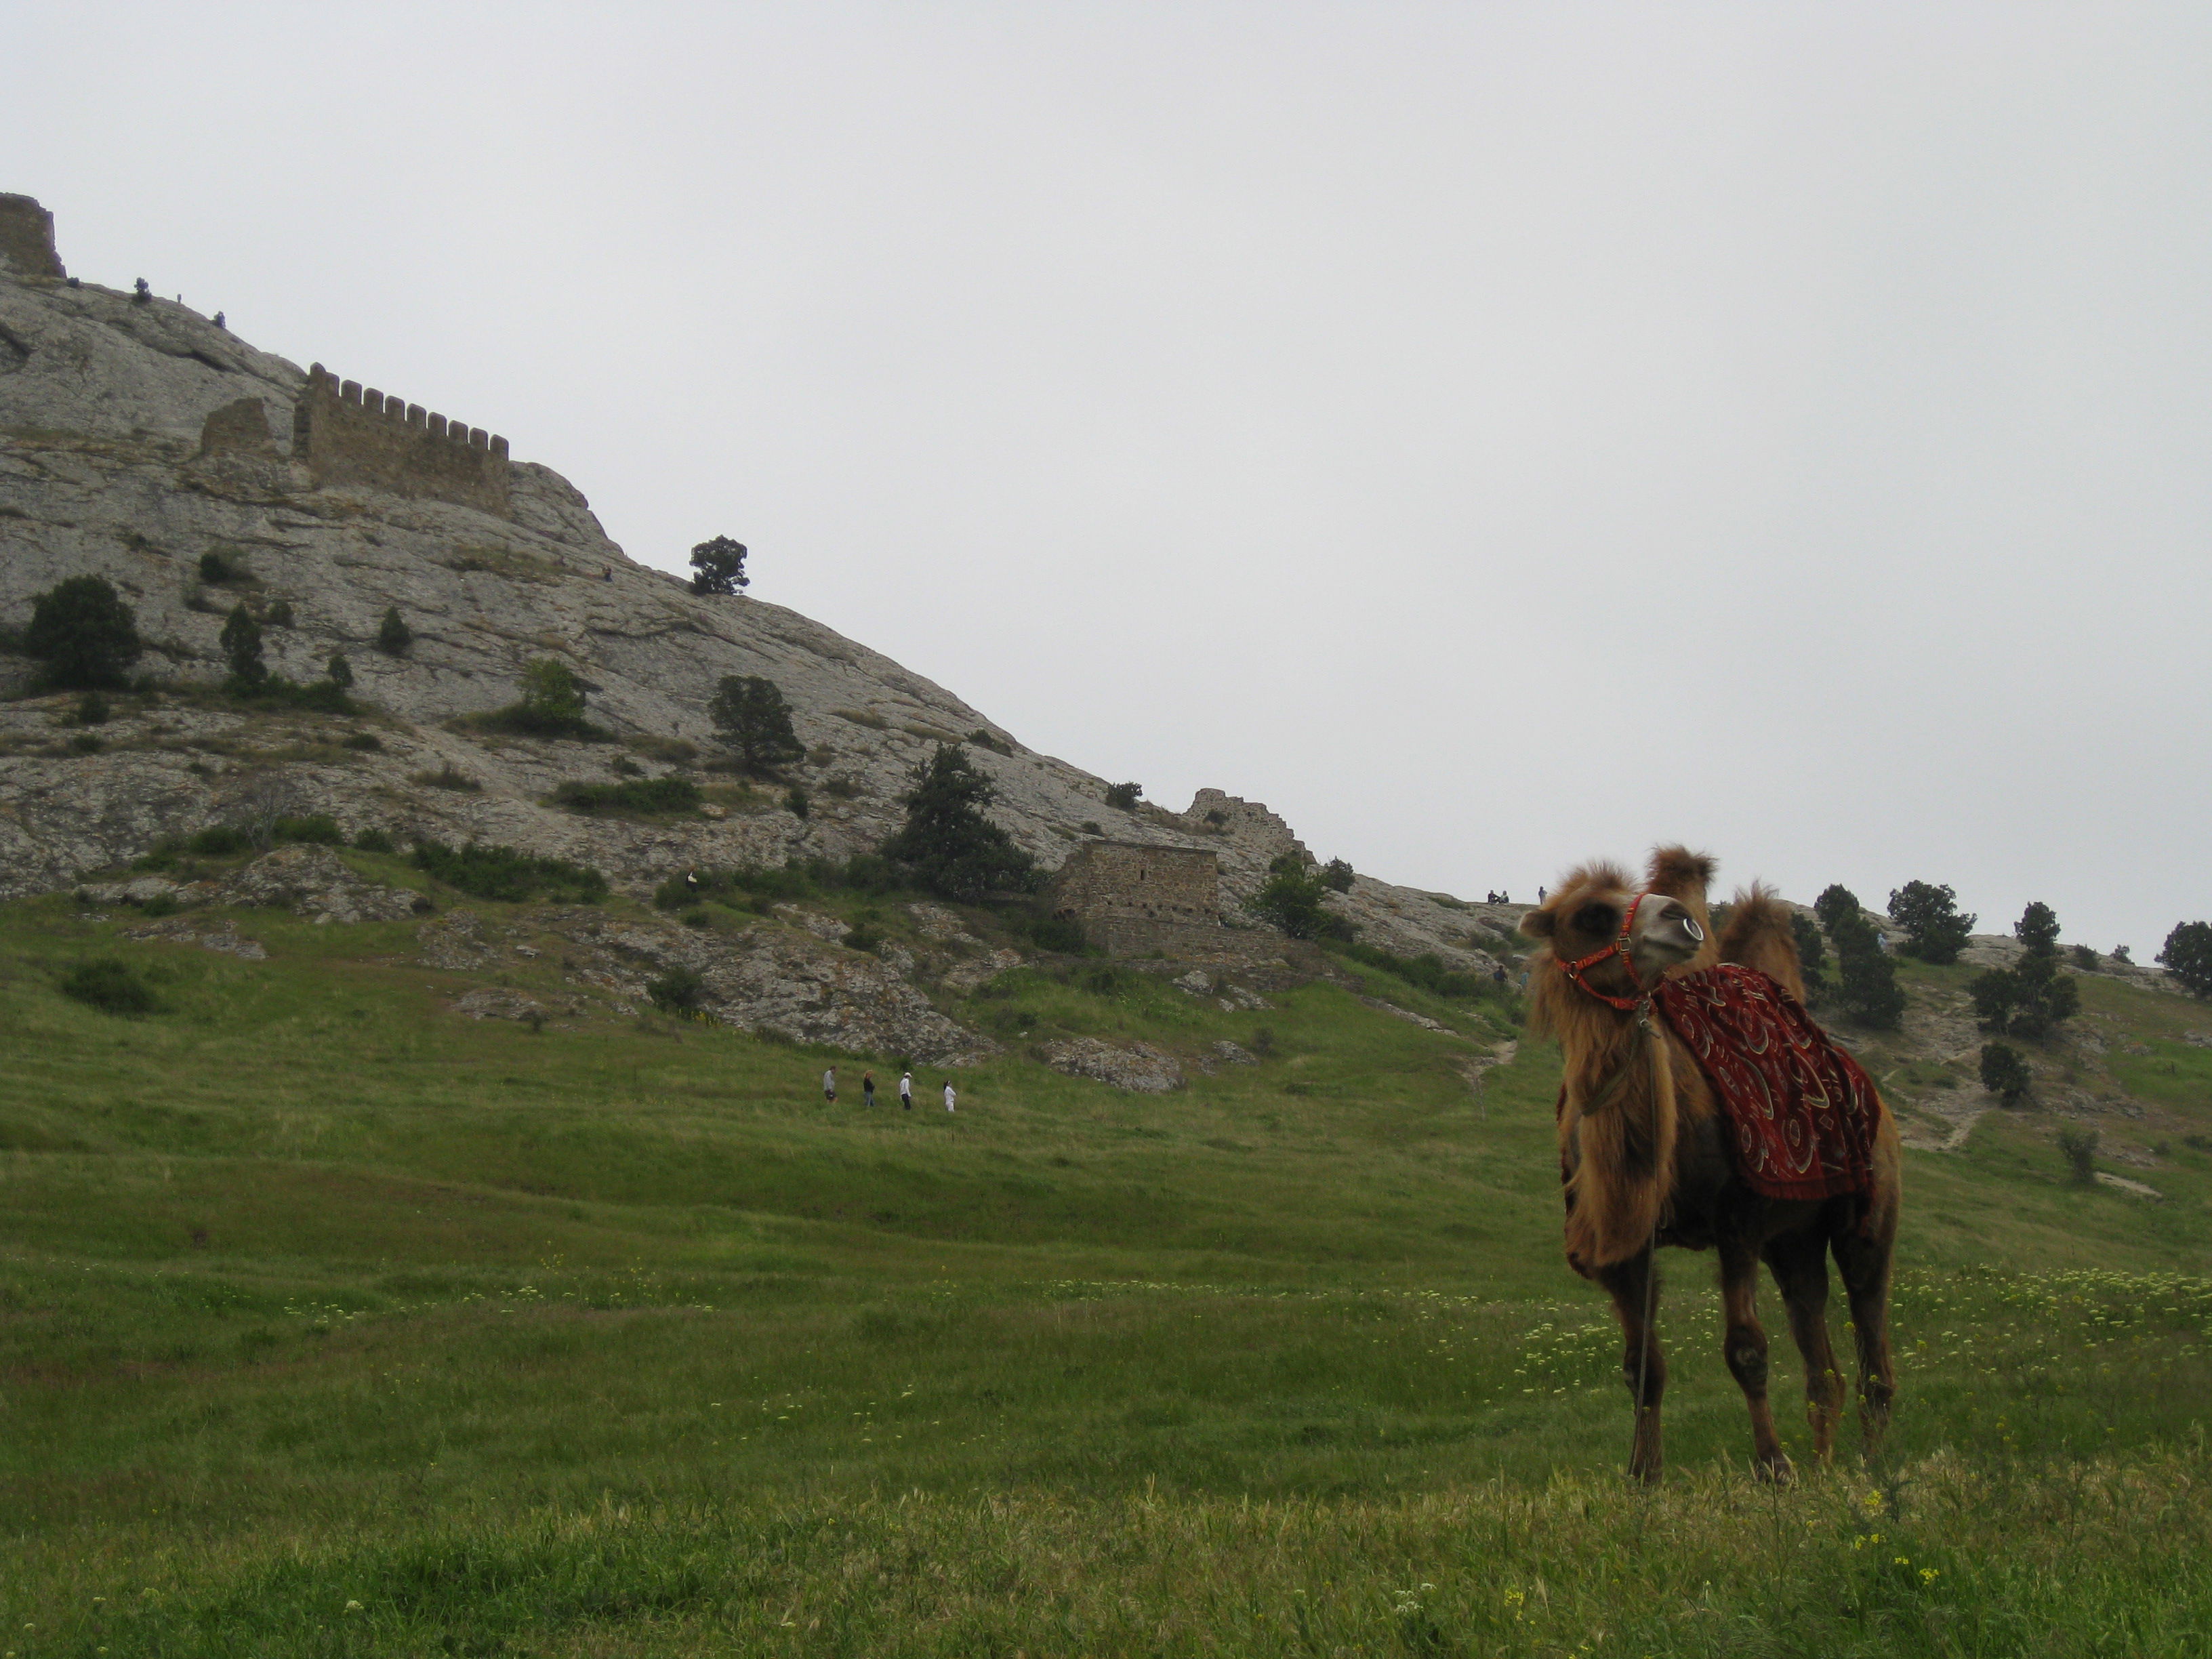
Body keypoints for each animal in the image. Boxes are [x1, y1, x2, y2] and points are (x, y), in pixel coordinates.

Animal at [1521, 849, 1902, 1486]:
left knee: (1872, 1348)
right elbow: (1641, 1366)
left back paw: (1873, 1471)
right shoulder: (1623, 1242)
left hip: (1868, 1215)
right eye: (1593, 913)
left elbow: (1747, 1350)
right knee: (1821, 1362)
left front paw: (1774, 1467)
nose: (1680, 919)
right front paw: (1642, 1479)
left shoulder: (1737, 1222)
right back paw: (1826, 1469)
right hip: (1794, 1242)